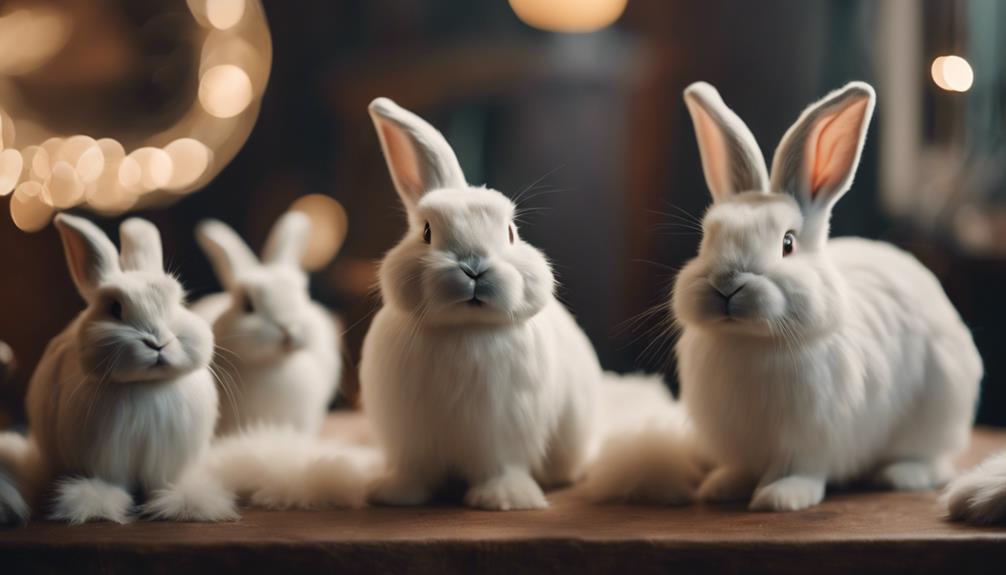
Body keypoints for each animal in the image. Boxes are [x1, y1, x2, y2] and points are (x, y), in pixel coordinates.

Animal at [7, 214, 236, 524]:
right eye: (115, 308)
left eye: (178, 302)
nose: (158, 343)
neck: (145, 386)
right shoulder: (104, 458)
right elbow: (111, 483)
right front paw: (96, 504)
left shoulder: (167, 462)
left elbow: (163, 484)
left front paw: (186, 504)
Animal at [360, 97, 601, 510]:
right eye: (427, 232)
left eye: (511, 232)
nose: (473, 268)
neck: (464, 329)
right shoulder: (410, 435)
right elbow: (411, 469)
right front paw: (395, 494)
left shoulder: (504, 430)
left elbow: (501, 465)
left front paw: (504, 499)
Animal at [668, 81, 982, 512]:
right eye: (707, 238)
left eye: (787, 243)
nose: (727, 283)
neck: (750, 342)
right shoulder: (740, 440)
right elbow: (741, 468)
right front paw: (719, 487)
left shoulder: (811, 437)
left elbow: (799, 470)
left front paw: (781, 497)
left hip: (939, 407)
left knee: (935, 460)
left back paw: (899, 474)